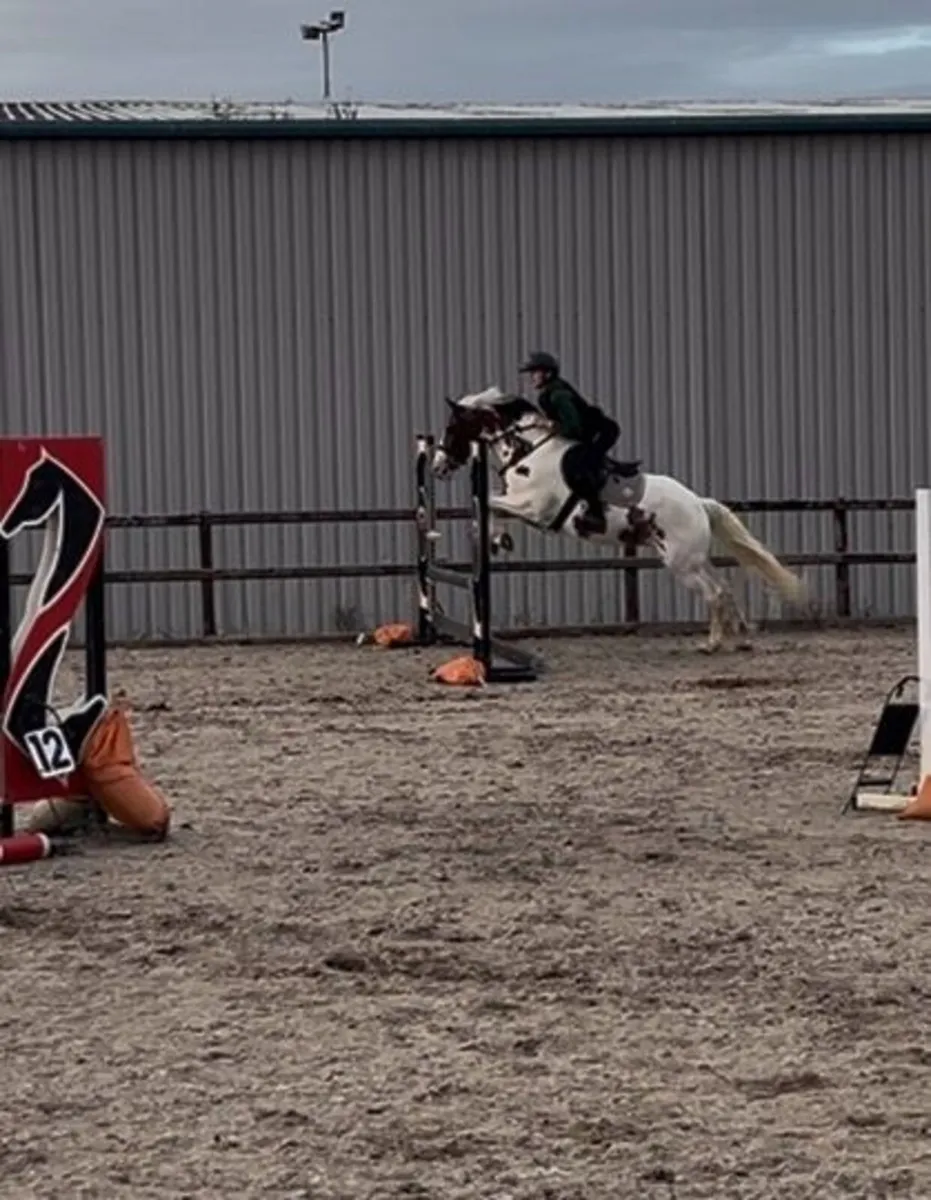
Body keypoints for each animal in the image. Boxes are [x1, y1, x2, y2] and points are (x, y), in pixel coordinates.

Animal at [430, 386, 807, 653]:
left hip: (679, 562)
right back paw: (743, 639)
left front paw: (492, 538)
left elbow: (490, 503)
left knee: (714, 593)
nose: (437, 467)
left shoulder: (534, 507)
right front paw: (498, 539)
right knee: (725, 589)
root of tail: (698, 503)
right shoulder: (523, 505)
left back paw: (711, 644)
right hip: (694, 558)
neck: (529, 452)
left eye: (451, 427)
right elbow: (494, 504)